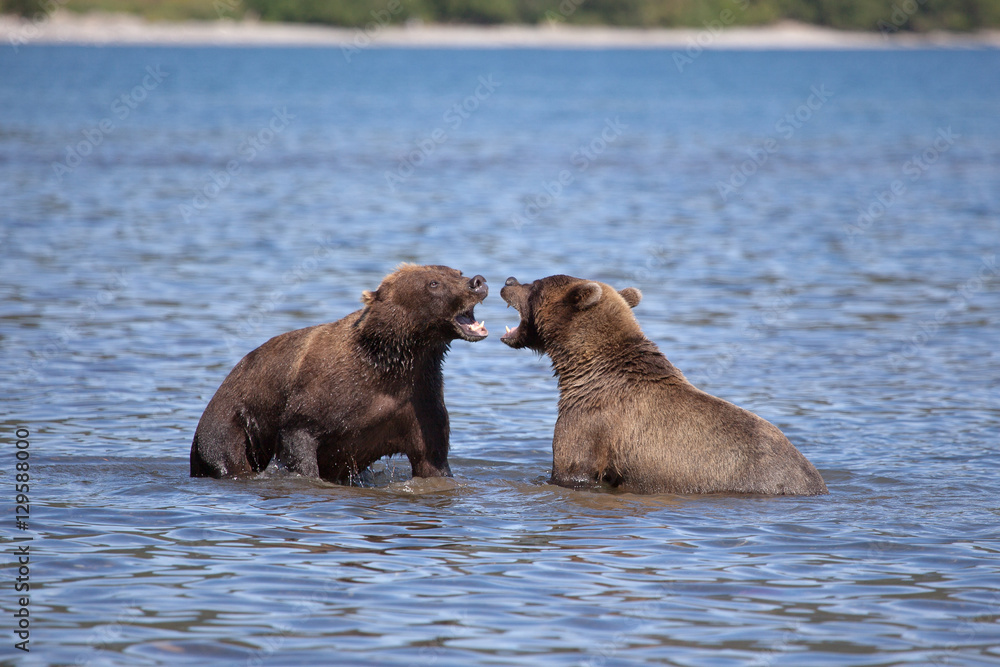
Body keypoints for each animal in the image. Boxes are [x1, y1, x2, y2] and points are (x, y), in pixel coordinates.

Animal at [190, 264, 489, 483]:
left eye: (457, 272)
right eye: (433, 283)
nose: (477, 281)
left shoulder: (420, 399)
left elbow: (432, 461)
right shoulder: (322, 398)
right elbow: (299, 438)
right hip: (230, 424)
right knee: (226, 457)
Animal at [500, 274, 827, 496]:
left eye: (536, 286)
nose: (509, 280)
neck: (583, 369)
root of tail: (818, 484)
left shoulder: (591, 424)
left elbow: (571, 468)